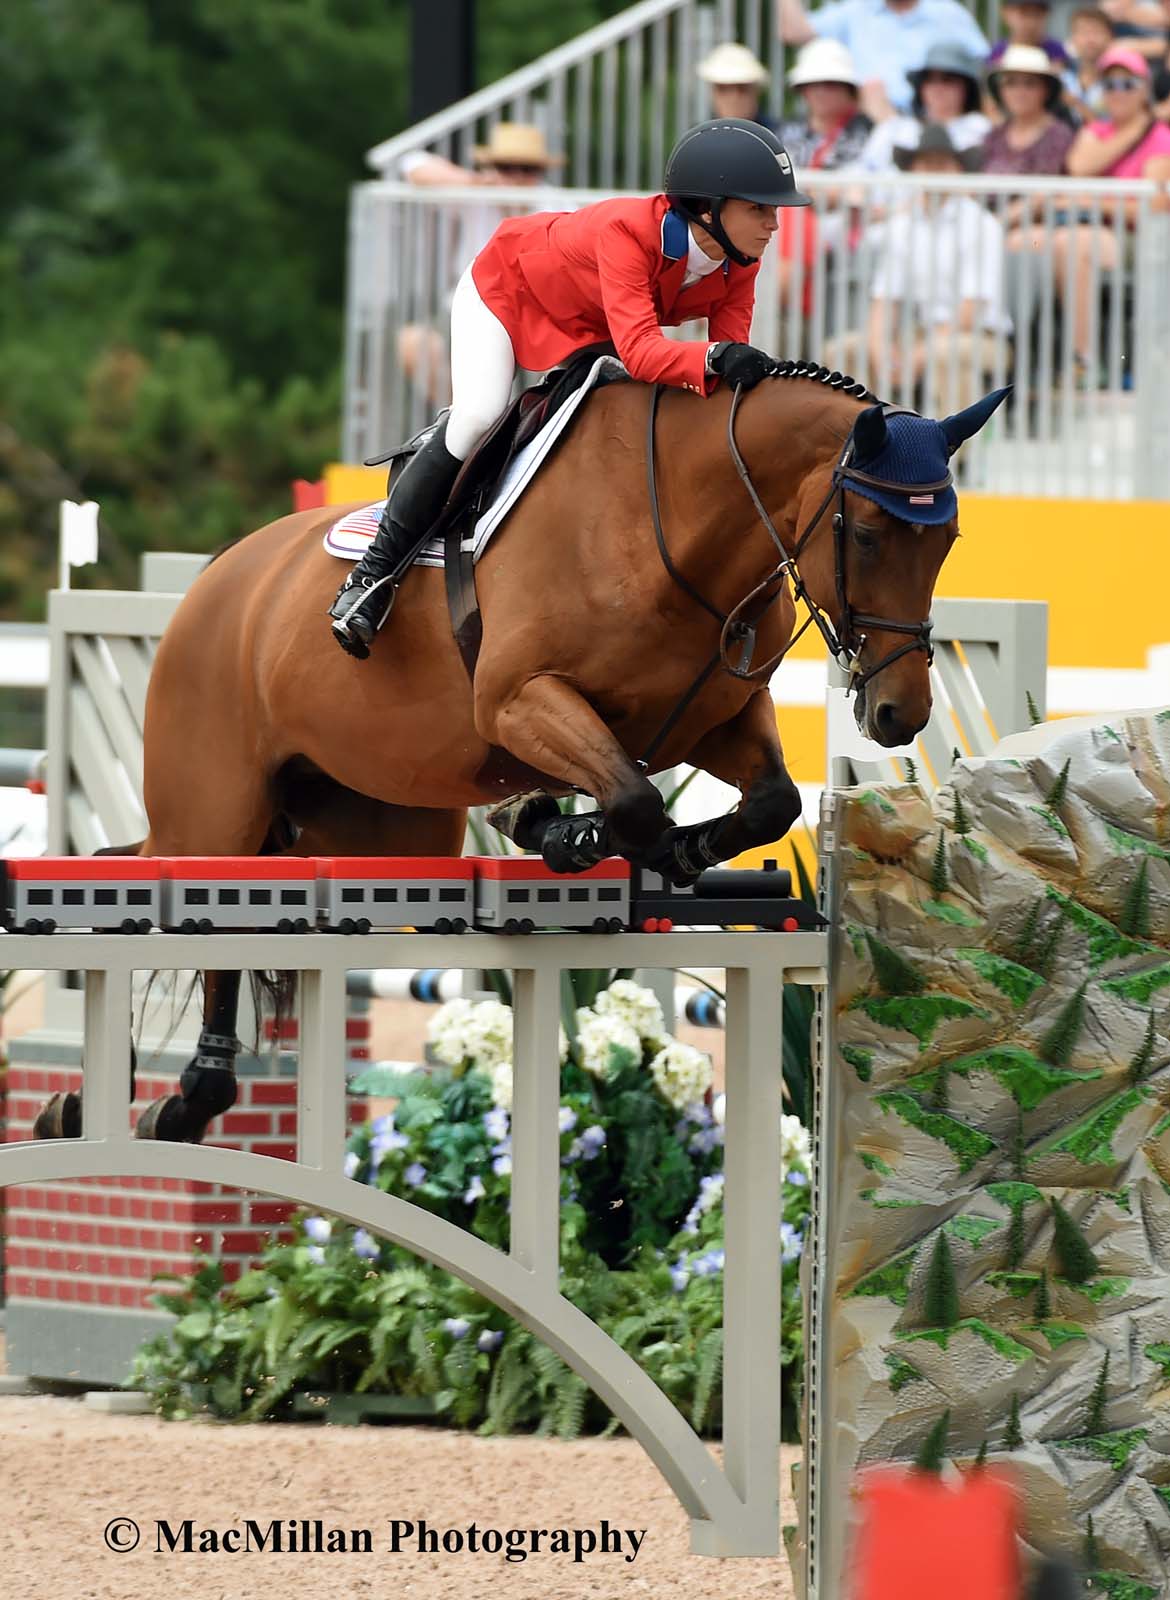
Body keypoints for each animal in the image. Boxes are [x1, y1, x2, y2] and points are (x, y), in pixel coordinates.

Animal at [34, 368, 1005, 1145]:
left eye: (948, 542)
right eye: (868, 534)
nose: (897, 713)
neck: (681, 530)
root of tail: (217, 578)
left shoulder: (716, 721)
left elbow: (768, 803)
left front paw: (636, 841)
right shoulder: (518, 700)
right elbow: (632, 799)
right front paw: (564, 831)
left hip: (379, 830)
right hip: (217, 810)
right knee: (173, 900)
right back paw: (156, 1099)